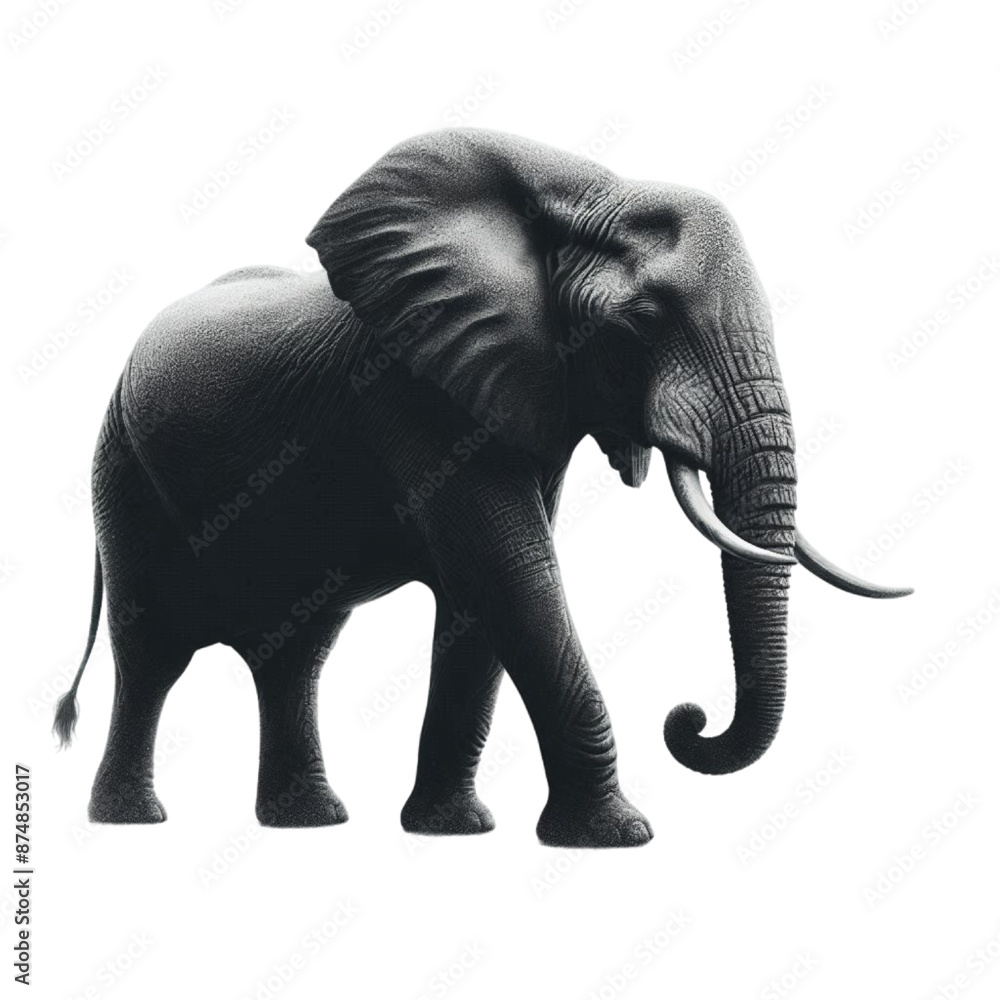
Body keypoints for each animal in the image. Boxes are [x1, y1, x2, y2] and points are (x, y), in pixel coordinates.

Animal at [54, 128, 911, 848]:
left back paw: (309, 822)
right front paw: (617, 837)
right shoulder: (416, 396)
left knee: (295, 656)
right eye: (641, 322)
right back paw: (133, 821)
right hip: (122, 471)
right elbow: (514, 574)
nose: (687, 720)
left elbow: (482, 600)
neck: (582, 190)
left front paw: (452, 831)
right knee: (153, 650)